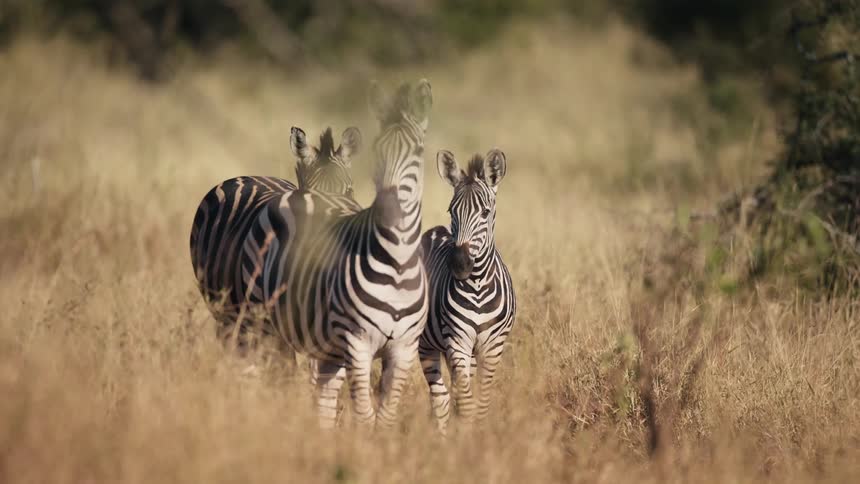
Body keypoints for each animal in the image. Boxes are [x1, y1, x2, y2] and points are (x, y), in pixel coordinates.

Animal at [239, 79, 432, 429]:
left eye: (418, 152)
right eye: (377, 151)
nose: (389, 209)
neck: (397, 264)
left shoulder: (403, 350)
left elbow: (384, 417)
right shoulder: (357, 343)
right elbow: (365, 416)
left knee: (322, 396)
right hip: (260, 319)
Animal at [419, 148, 516, 434]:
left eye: (485, 212)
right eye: (452, 211)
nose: (459, 265)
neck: (478, 285)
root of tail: (434, 231)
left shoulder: (493, 346)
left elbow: (480, 401)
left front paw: (478, 435)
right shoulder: (458, 341)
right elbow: (465, 402)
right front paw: (465, 438)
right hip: (428, 345)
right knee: (440, 398)